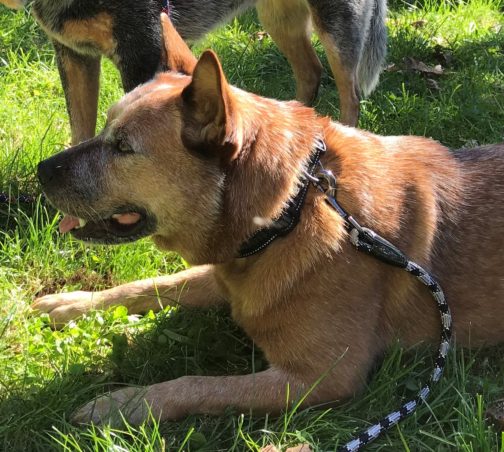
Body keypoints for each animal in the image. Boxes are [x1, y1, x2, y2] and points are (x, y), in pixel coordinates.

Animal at [0, 0, 386, 141]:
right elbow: (80, 131)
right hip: (278, 18)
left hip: (335, 24)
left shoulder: (142, 49)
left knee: (350, 94)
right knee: (310, 71)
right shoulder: (73, 54)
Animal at [33, 15, 502, 434]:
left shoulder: (321, 378)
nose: (41, 170)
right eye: (104, 128)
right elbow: (153, 285)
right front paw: (72, 303)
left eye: (123, 147)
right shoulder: (227, 277)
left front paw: (127, 404)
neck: (292, 210)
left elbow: (198, 385)